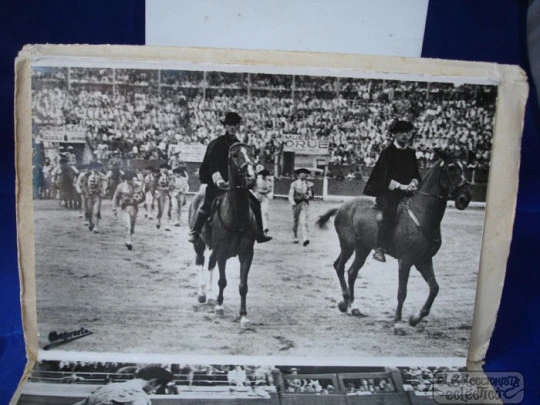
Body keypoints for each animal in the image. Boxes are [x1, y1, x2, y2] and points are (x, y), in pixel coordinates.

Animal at [189, 144, 258, 326]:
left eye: (252, 154)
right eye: (234, 155)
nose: (251, 177)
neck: (237, 216)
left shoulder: (247, 253)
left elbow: (243, 285)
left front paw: (243, 315)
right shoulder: (222, 251)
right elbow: (222, 280)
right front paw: (219, 307)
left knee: (210, 263)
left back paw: (210, 296)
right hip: (199, 243)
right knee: (201, 260)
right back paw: (202, 294)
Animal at [316, 153, 472, 326]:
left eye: (465, 167)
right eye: (451, 168)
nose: (465, 198)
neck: (421, 214)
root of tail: (343, 207)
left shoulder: (424, 260)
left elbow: (434, 288)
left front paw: (416, 317)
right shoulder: (405, 261)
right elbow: (402, 291)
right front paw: (397, 319)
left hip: (363, 248)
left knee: (352, 272)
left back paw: (353, 306)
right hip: (348, 246)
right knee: (339, 266)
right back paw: (345, 302)